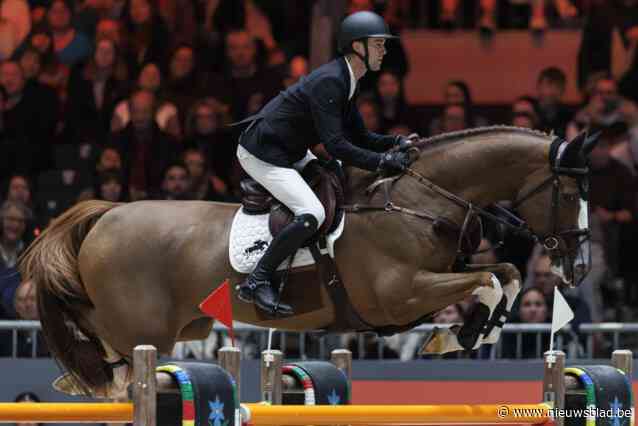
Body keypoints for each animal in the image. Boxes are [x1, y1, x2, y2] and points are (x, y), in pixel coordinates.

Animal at [20, 125, 600, 398]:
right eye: (572, 193)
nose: (579, 269)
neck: (419, 198)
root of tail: (108, 214)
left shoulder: (427, 284)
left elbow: (504, 274)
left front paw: (477, 329)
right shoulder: (400, 295)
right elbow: (488, 278)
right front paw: (463, 332)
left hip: (180, 324)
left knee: (100, 345)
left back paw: (77, 380)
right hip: (146, 329)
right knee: (109, 349)